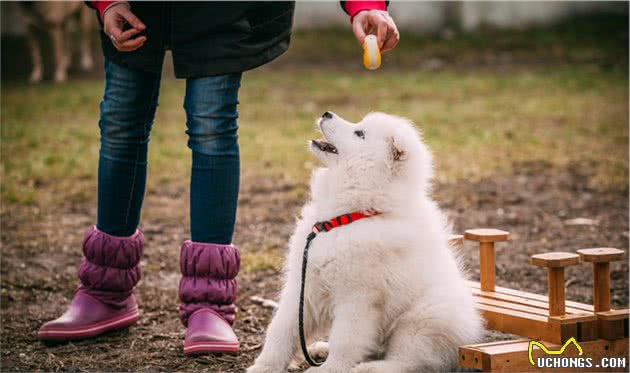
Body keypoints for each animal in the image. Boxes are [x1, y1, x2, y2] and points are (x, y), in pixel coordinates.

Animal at [248, 112, 484, 370]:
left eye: (359, 134)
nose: (327, 113)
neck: (346, 218)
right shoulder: (304, 285)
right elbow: (282, 328)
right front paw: (264, 367)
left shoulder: (358, 298)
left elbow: (345, 340)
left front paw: (330, 370)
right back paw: (322, 349)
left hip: (421, 320)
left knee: (407, 361)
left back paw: (368, 367)